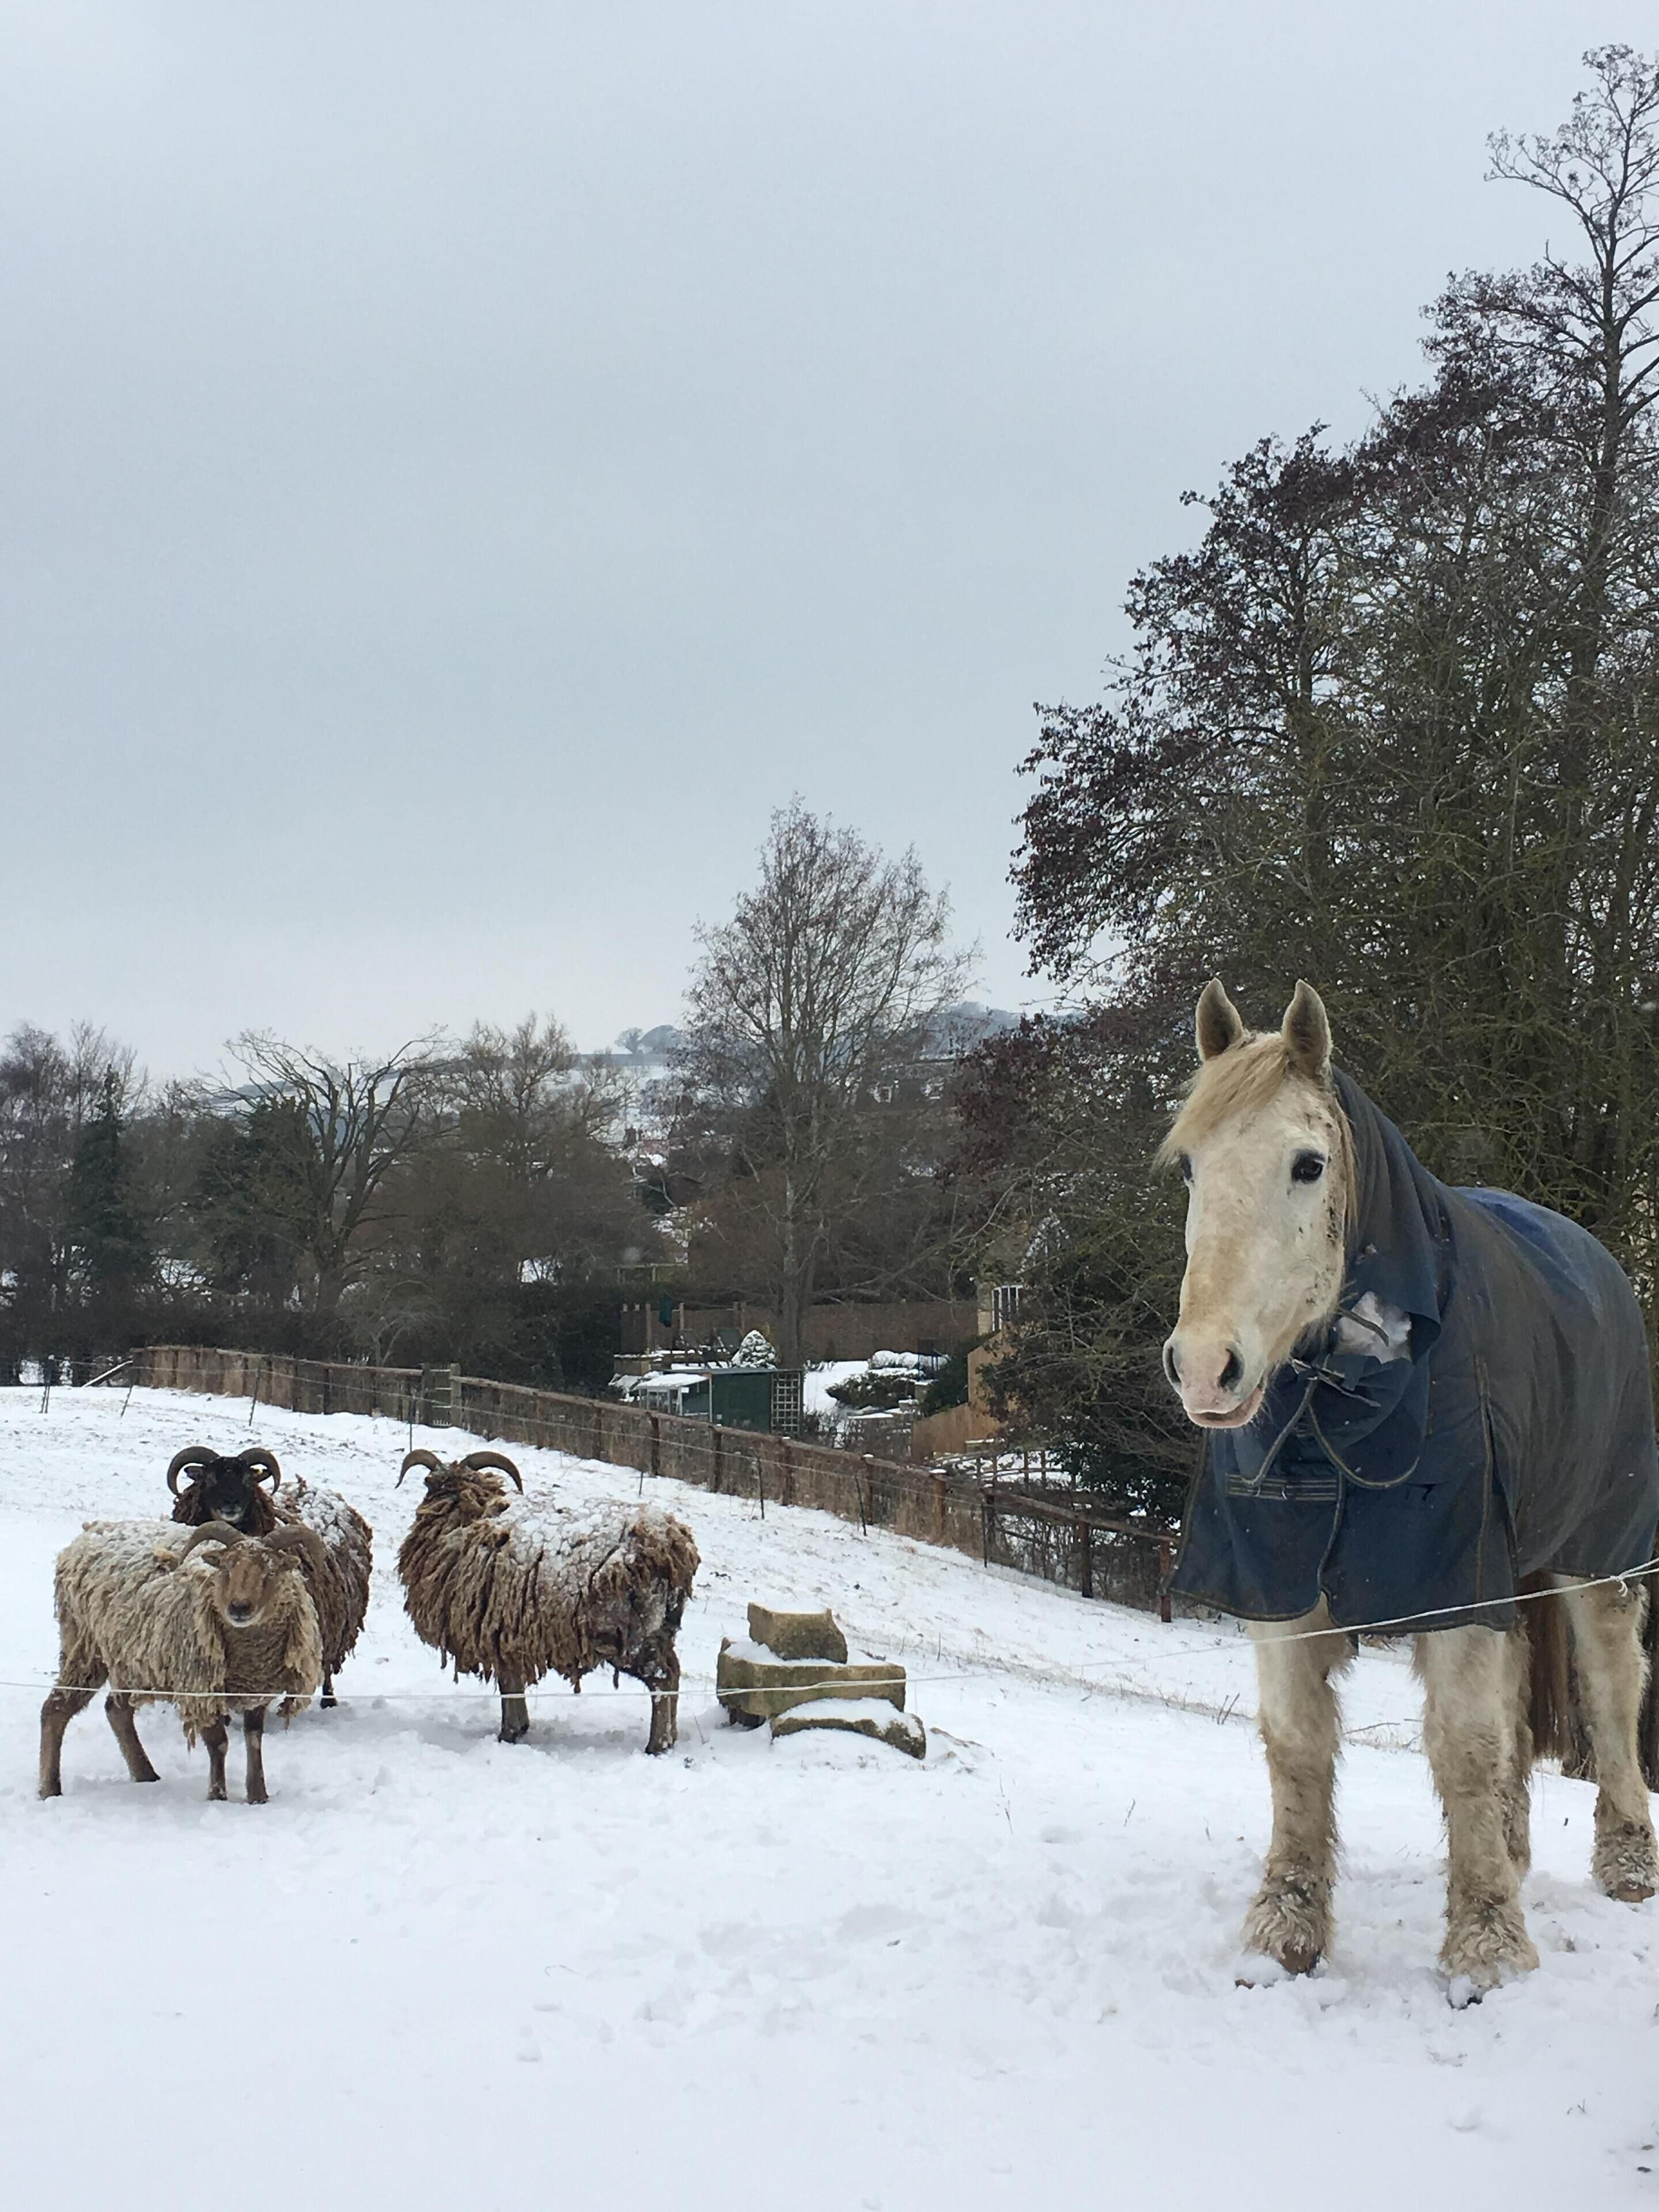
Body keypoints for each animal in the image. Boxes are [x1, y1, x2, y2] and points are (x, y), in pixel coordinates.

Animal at [39, 1518, 326, 1803]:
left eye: (270, 1571)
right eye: (226, 1567)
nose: (239, 1608)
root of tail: (82, 1540)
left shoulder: (257, 1689)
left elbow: (254, 1740)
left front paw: (258, 1796)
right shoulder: (200, 1687)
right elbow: (218, 1744)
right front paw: (217, 1796)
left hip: (129, 1660)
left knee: (116, 1711)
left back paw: (146, 1775)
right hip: (85, 1646)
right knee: (56, 1709)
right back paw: (49, 1789)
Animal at [396, 1448, 699, 1752]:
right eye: (428, 1482)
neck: (461, 1520)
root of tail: (673, 1546)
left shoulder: (495, 1632)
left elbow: (508, 1687)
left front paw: (508, 1734)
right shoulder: (508, 1638)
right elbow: (512, 1685)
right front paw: (519, 1728)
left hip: (631, 1634)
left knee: (662, 1677)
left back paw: (657, 1745)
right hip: (660, 1629)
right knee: (674, 1671)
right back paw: (670, 1738)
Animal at [1161, 978, 1659, 1997]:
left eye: (1309, 1165)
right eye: (1189, 1167)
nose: (1204, 1369)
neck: (1340, 1404)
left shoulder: (1453, 1579)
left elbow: (1464, 1749)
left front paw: (1485, 1951)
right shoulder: (1282, 1578)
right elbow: (1298, 1745)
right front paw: (1284, 1933)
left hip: (1601, 1552)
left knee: (1612, 1685)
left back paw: (1627, 1859)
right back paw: (1511, 1849)